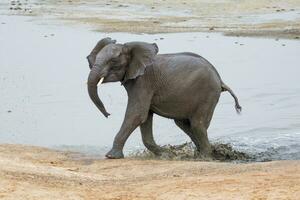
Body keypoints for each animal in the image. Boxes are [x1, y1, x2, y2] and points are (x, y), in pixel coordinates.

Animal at [86, 37, 241, 159]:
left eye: (113, 61)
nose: (108, 114)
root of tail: (220, 80)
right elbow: (144, 117)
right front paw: (166, 155)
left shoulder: (143, 82)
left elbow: (136, 114)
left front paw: (111, 156)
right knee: (184, 124)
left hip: (207, 94)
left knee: (198, 125)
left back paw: (204, 157)